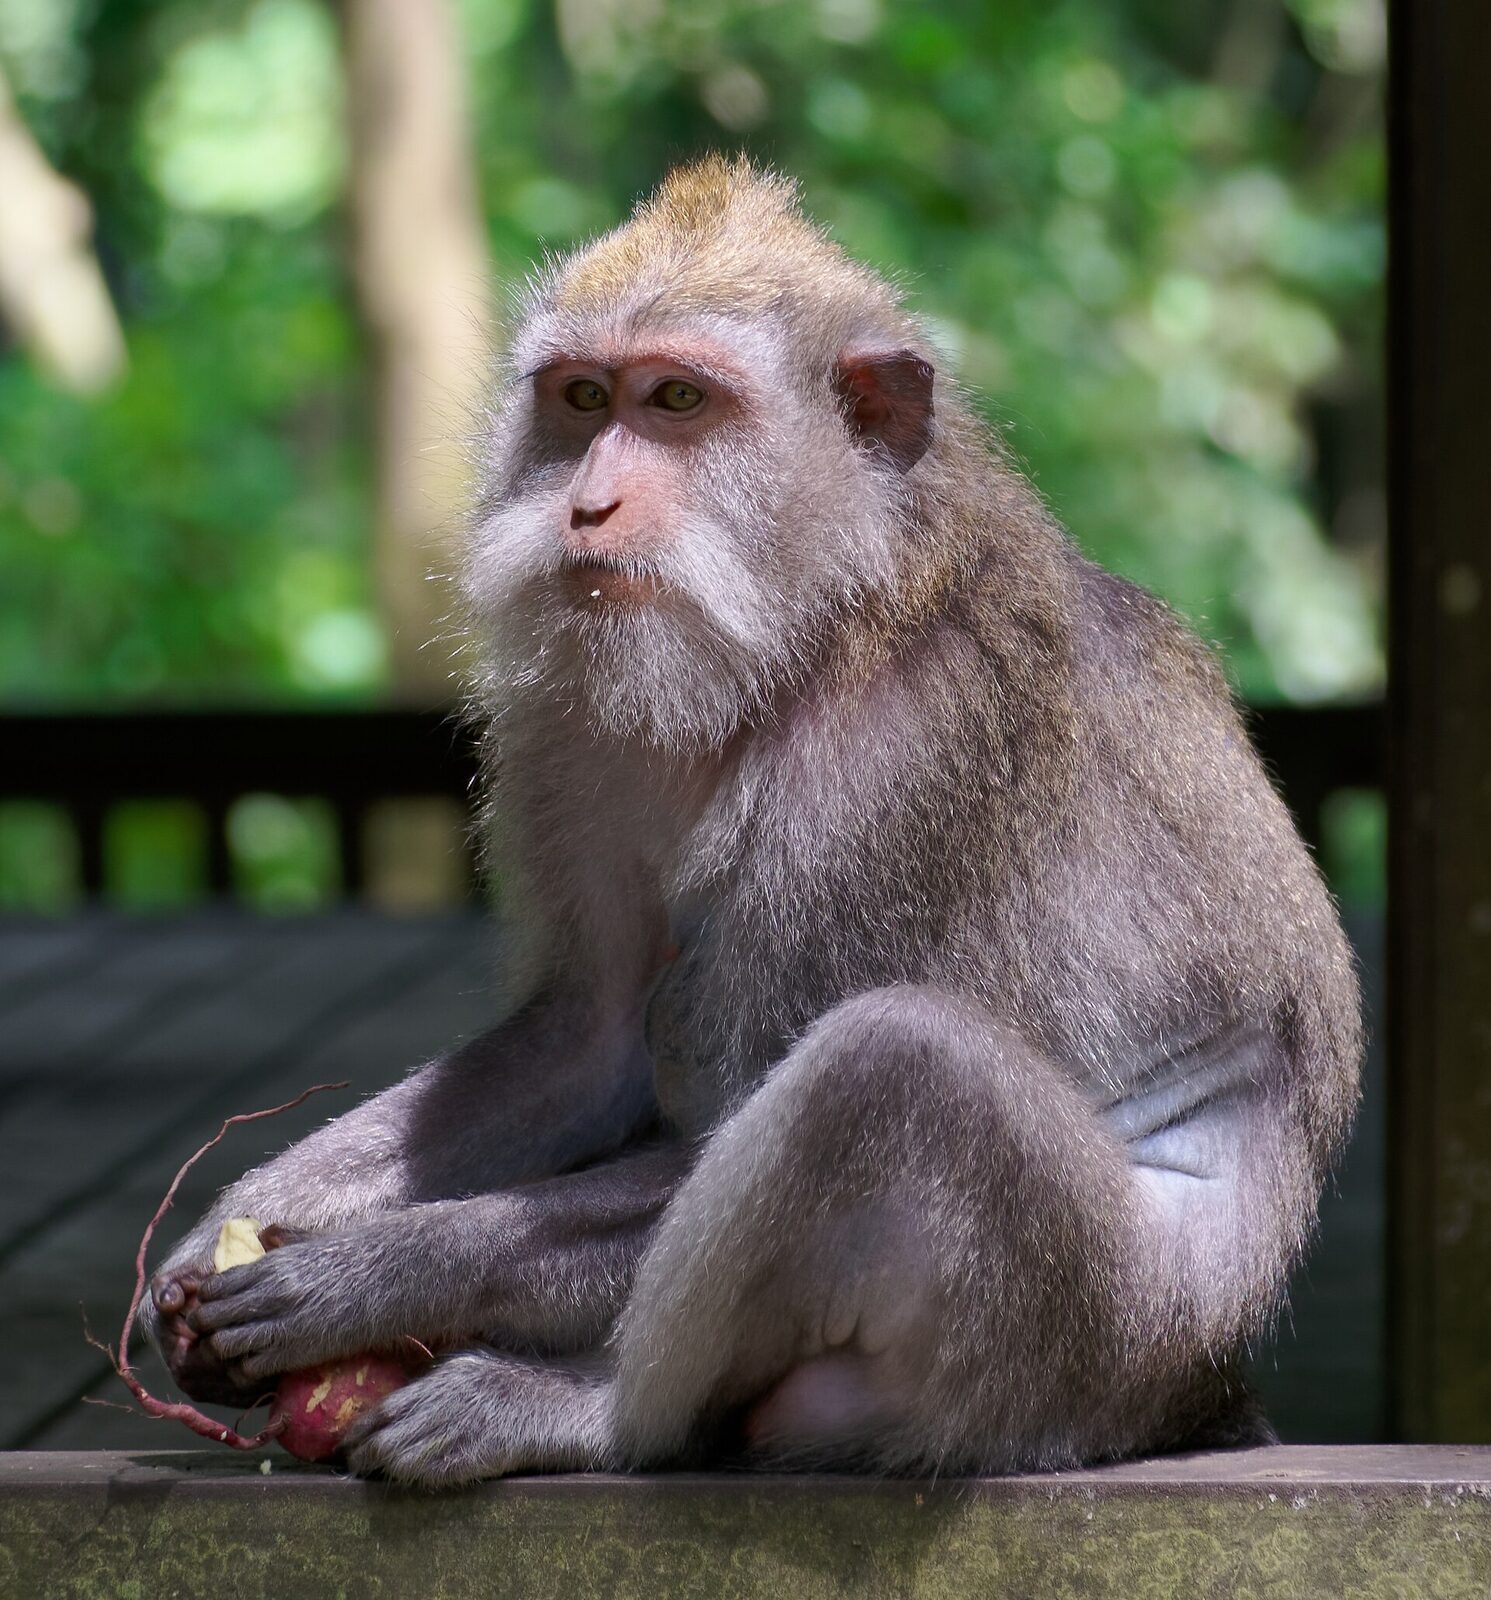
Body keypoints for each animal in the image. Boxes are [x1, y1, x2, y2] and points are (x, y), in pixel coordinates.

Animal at [144, 155, 1361, 1486]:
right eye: (583, 399)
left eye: (679, 399)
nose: (589, 505)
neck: (813, 628)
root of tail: (1197, 1390)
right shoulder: (573, 727)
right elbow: (589, 1033)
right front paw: (233, 1222)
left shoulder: (895, 773)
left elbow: (738, 1109)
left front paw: (369, 1276)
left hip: (1076, 1350)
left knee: (894, 1070)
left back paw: (594, 1416)